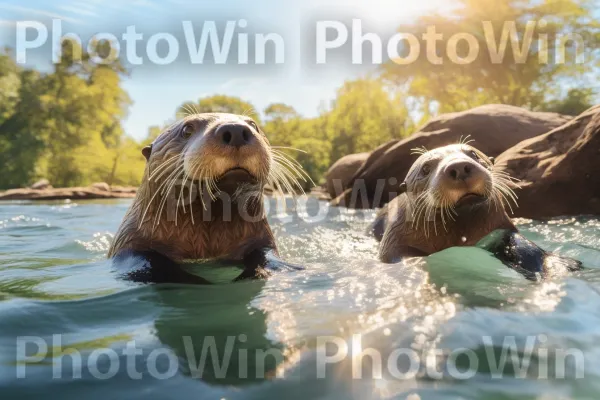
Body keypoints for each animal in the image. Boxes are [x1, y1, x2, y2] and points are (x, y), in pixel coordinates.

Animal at [108, 111, 304, 282]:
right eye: (187, 129)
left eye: (253, 124)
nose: (235, 130)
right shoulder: (131, 243)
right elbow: (154, 264)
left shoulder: (260, 240)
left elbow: (264, 255)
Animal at [378, 142, 580, 280]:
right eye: (426, 168)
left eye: (473, 154)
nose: (458, 166)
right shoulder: (395, 245)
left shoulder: (498, 227)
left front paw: (553, 264)